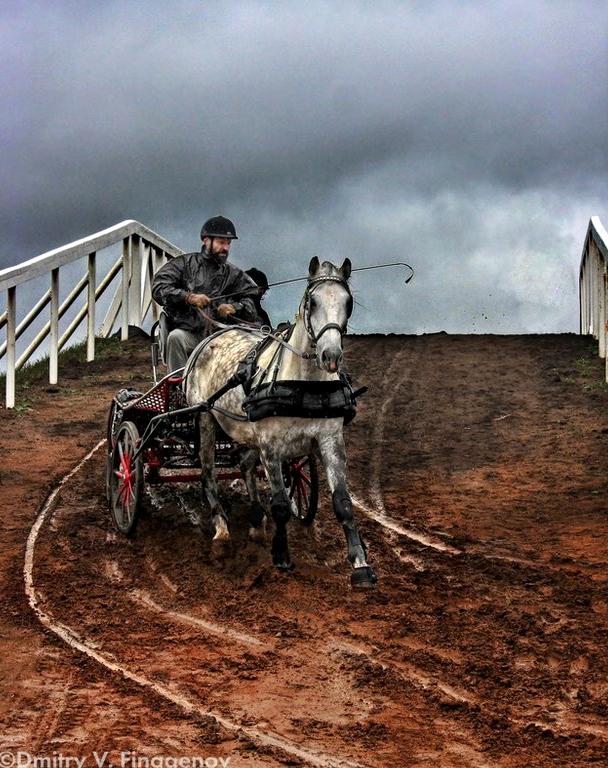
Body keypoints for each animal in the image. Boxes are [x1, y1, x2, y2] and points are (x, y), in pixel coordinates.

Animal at [186, 258, 376, 588]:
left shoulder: (330, 441)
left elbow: (342, 502)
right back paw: (221, 527)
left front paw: (360, 563)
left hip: (245, 428)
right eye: (312, 302)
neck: (303, 384)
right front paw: (281, 556)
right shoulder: (271, 447)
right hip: (205, 416)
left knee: (245, 466)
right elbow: (281, 506)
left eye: (348, 302)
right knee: (208, 471)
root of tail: (214, 335)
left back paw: (255, 521)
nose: (330, 356)